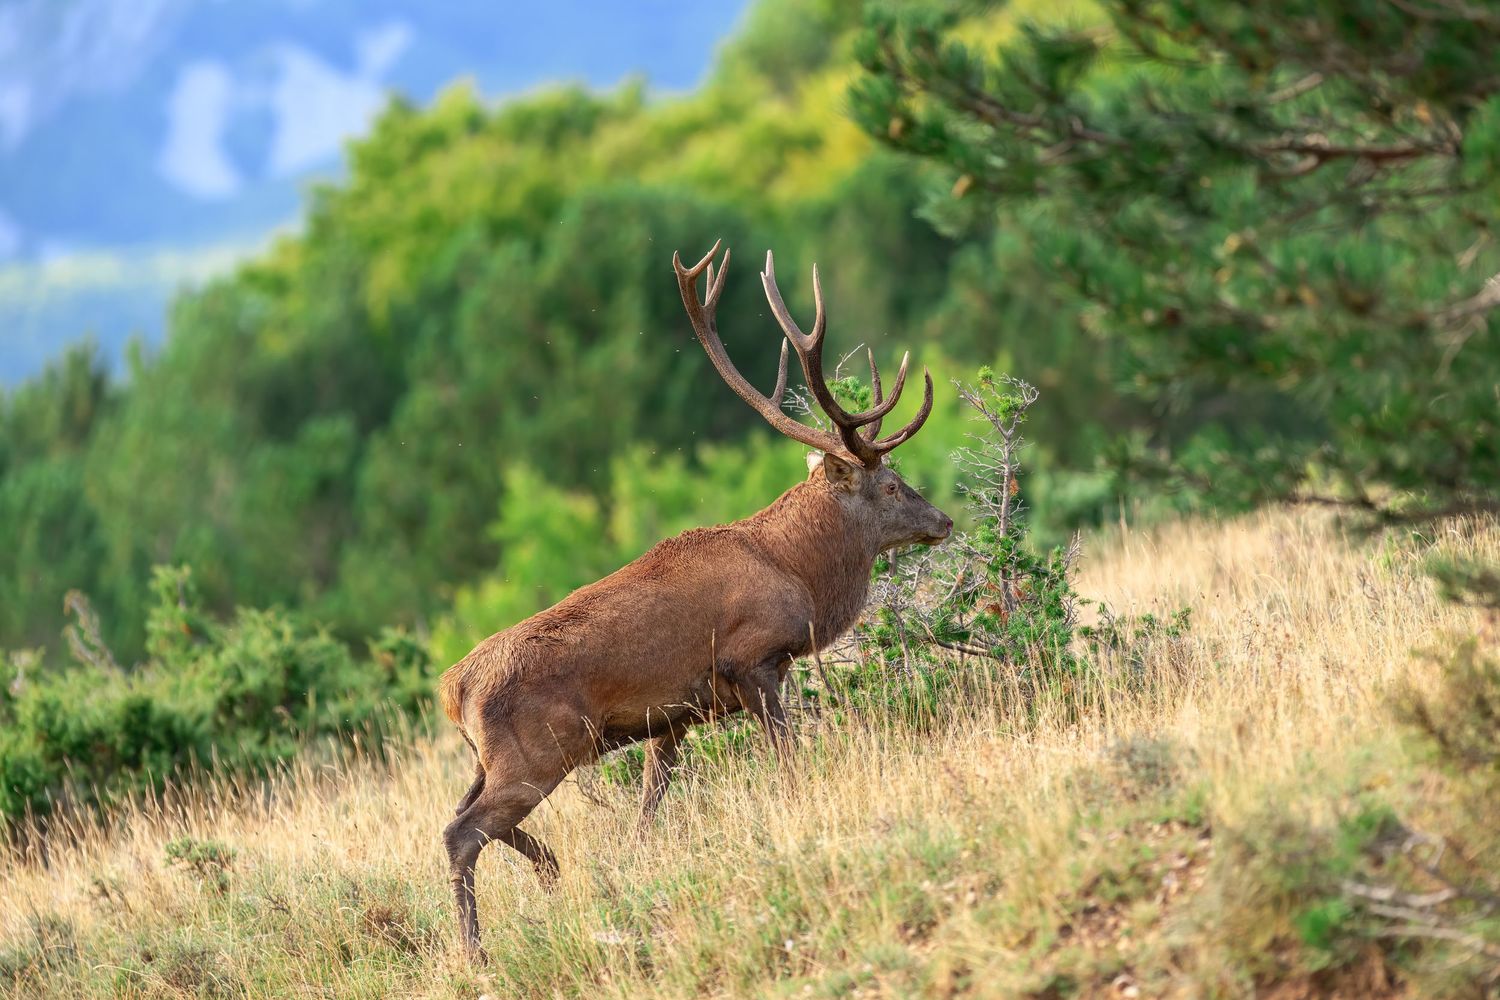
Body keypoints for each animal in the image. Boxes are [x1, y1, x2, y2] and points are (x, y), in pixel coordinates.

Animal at [438, 241, 953, 960]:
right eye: (893, 486)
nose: (944, 521)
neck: (796, 571)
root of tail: (453, 687)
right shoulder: (752, 660)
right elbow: (788, 761)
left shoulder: (672, 716)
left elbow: (650, 808)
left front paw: (633, 864)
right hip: (536, 751)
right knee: (461, 834)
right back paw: (477, 952)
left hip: (492, 759)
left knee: (463, 817)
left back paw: (552, 871)